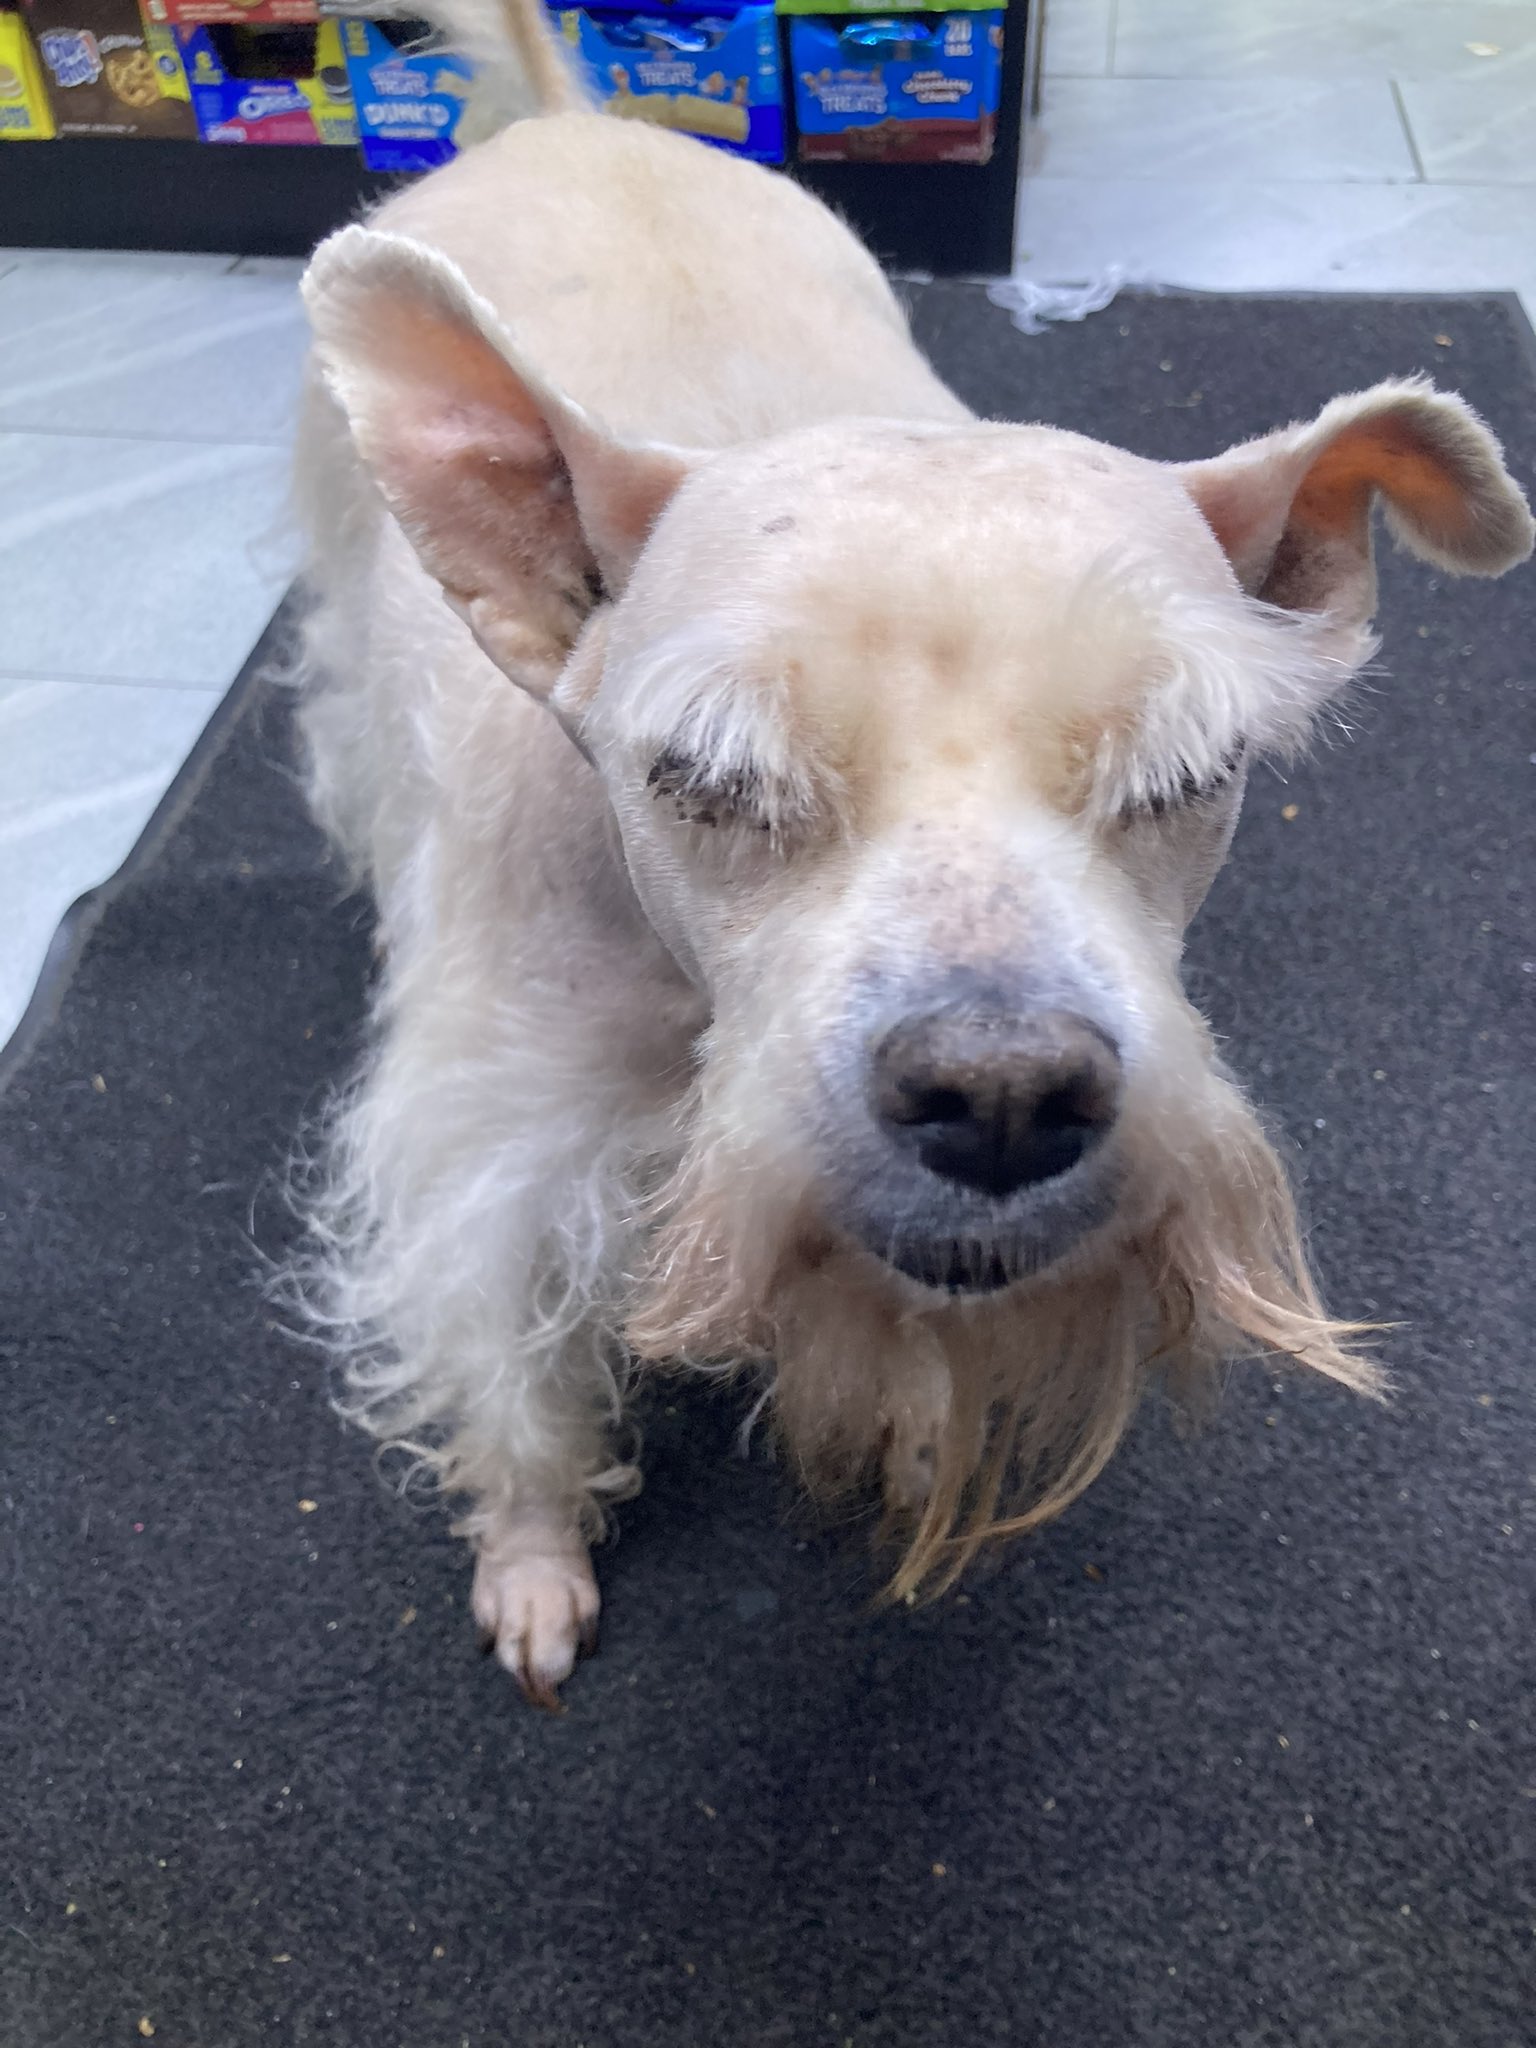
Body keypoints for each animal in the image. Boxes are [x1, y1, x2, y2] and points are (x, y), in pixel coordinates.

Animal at [290, 0, 1534, 1707]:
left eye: (1190, 774)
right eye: (704, 777)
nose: (1004, 1102)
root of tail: (568, 117)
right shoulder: (491, 1154)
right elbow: (514, 1378)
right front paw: (534, 1562)